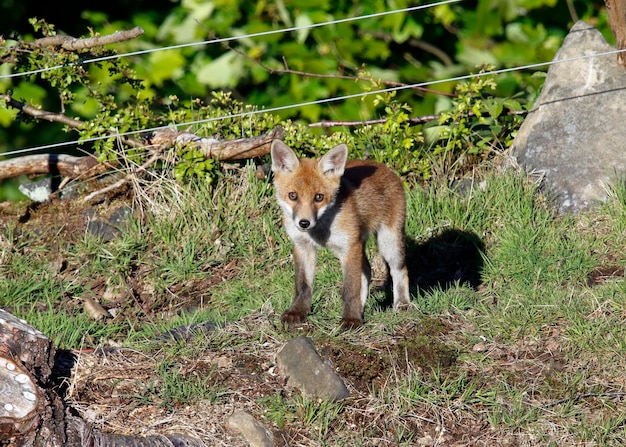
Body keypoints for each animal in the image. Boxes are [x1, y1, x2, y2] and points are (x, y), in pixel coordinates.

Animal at [270, 140, 410, 328]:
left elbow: (350, 289)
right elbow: (303, 285)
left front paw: (351, 319)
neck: (319, 231)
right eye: (293, 196)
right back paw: (362, 307)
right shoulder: (302, 246)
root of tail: (384, 167)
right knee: (367, 271)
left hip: (389, 243)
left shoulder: (349, 247)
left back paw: (402, 304)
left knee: (399, 270)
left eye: (319, 197)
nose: (304, 223)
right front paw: (297, 312)